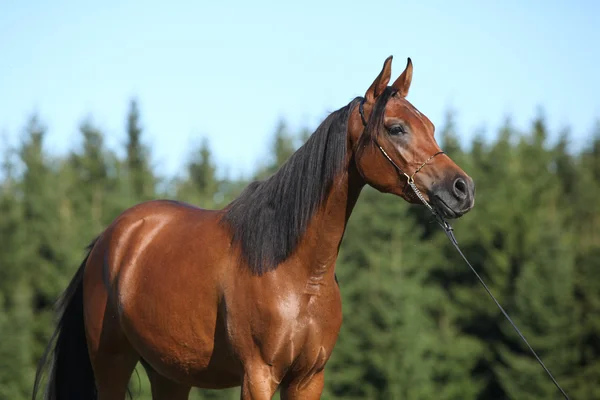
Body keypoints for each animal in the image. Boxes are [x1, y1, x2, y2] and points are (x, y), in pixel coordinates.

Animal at [32, 57, 474, 400]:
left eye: (431, 126)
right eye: (397, 128)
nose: (462, 189)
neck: (297, 273)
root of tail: (110, 240)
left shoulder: (308, 379)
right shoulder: (259, 375)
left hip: (170, 372)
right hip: (112, 363)